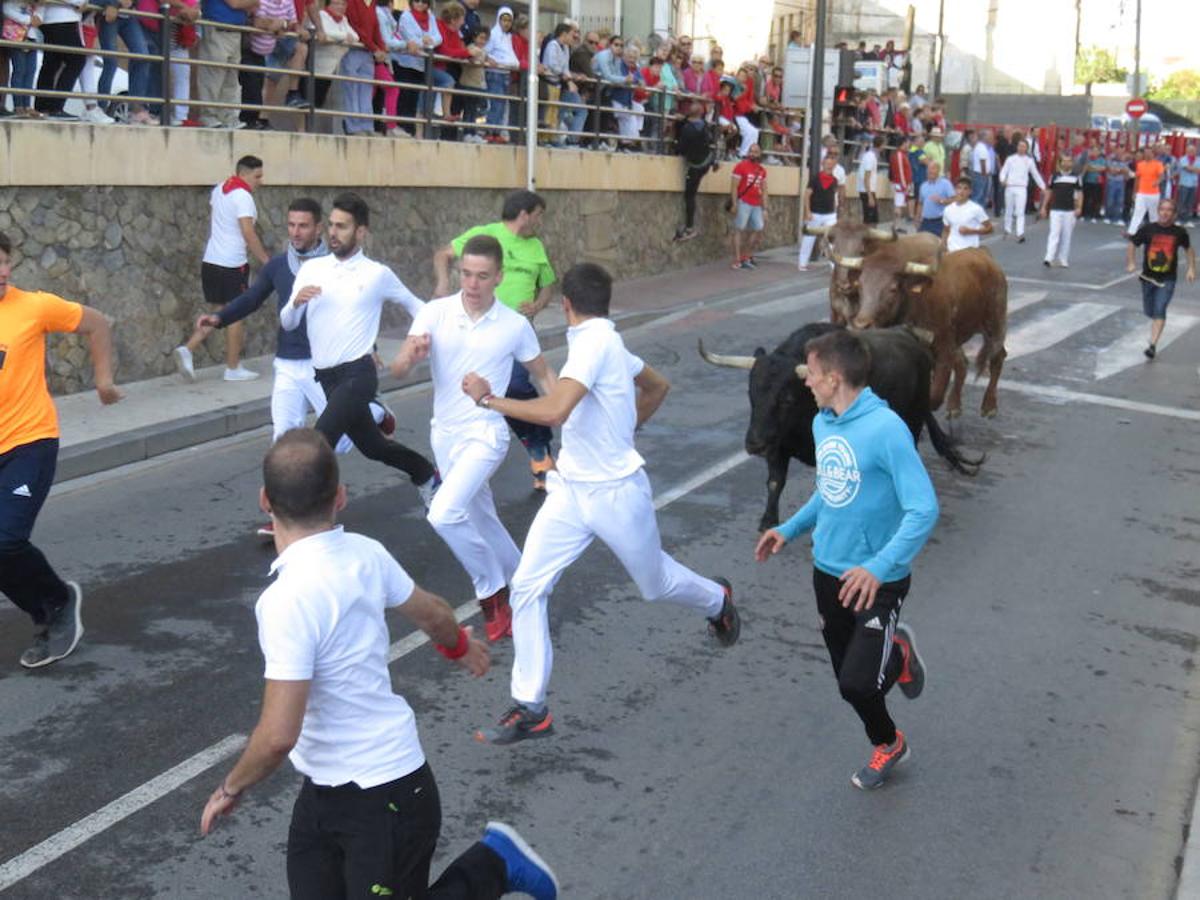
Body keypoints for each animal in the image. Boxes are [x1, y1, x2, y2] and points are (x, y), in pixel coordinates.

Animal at [700, 321, 979, 532]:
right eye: (751, 394)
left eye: (786, 399)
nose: (754, 444)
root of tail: (909, 336)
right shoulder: (778, 447)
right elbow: (775, 482)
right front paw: (768, 522)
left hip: (913, 419)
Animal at [849, 244, 1008, 417]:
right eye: (860, 286)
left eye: (893, 288)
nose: (861, 324)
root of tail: (983, 253)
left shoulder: (944, 349)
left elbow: (934, 397)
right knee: (962, 363)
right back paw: (954, 406)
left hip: (994, 324)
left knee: (997, 356)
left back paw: (989, 406)